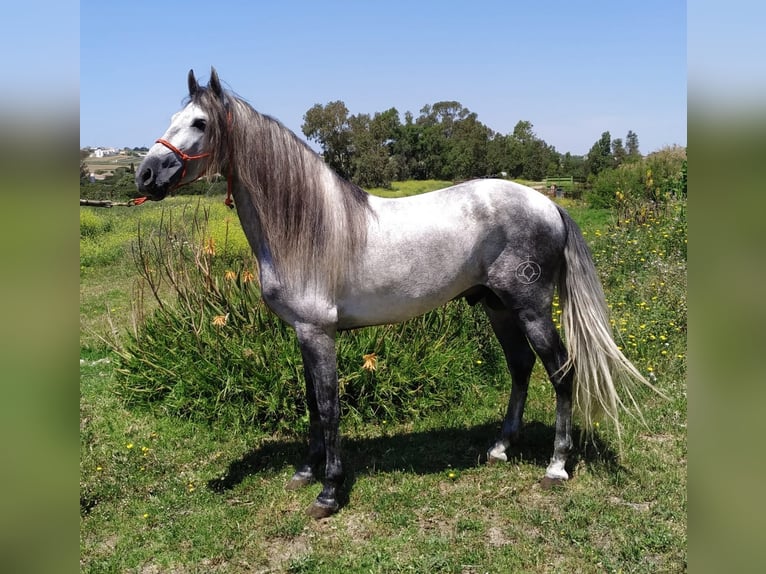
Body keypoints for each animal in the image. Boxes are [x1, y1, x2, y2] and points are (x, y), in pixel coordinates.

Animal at [136, 68, 656, 520]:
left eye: (200, 123)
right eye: (173, 117)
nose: (146, 175)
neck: (305, 228)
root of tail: (548, 203)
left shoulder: (318, 332)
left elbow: (329, 406)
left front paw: (329, 492)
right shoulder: (304, 333)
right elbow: (311, 402)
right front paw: (306, 470)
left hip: (530, 309)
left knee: (562, 372)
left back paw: (556, 466)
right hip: (498, 307)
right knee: (520, 367)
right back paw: (500, 448)